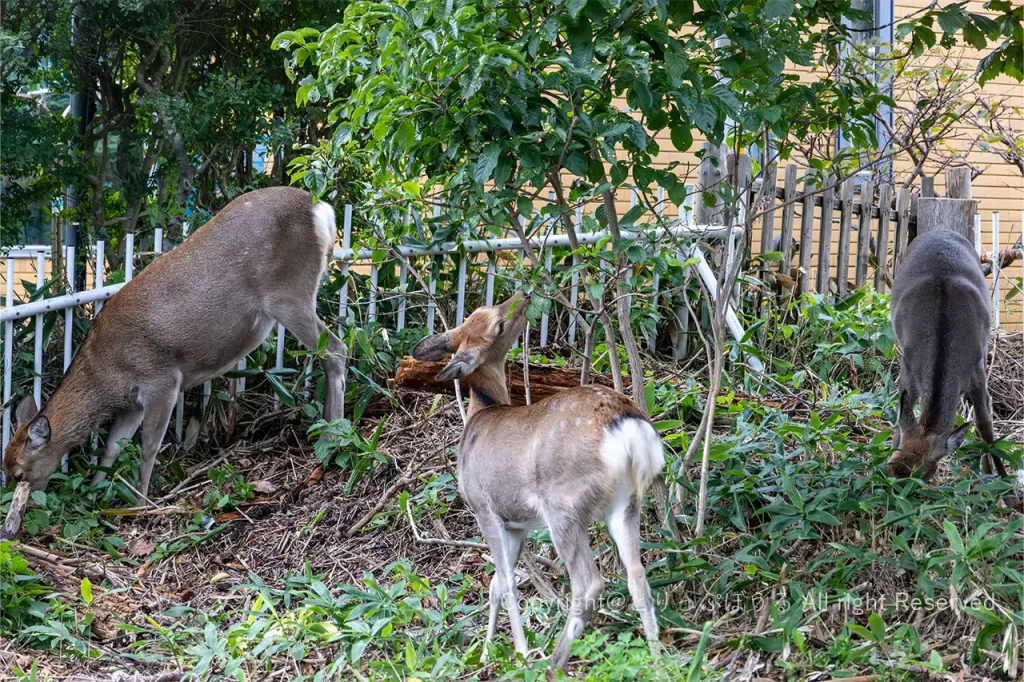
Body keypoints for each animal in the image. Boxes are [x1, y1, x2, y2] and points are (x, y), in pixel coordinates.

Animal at [2, 186, 348, 499]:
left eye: (18, 472)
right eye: (3, 466)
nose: (16, 502)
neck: (106, 370)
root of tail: (319, 207)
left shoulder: (162, 379)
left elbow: (148, 446)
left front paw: (140, 502)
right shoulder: (132, 402)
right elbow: (113, 446)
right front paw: (95, 493)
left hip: (288, 293)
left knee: (336, 349)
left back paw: (334, 434)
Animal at [409, 290, 663, 663]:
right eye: (496, 322)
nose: (523, 294)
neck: (480, 412)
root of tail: (628, 427)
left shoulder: (483, 507)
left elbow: (506, 581)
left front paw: (519, 653)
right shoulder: (515, 522)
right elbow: (496, 584)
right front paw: (485, 655)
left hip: (563, 504)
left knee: (588, 581)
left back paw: (553, 661)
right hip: (626, 502)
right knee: (638, 575)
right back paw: (658, 658)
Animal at [884, 231, 1003, 481]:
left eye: (922, 474)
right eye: (889, 468)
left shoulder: (977, 368)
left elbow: (984, 423)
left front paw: (1004, 482)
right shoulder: (907, 366)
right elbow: (901, 417)